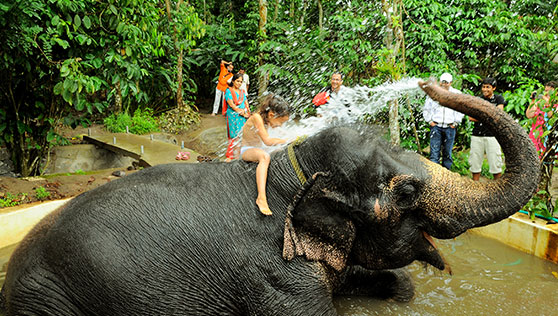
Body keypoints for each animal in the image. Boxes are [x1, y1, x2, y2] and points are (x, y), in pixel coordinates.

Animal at [0, 80, 544, 314]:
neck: (293, 173)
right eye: (408, 191)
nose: (431, 82)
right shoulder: (272, 276)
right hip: (50, 298)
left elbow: (390, 283)